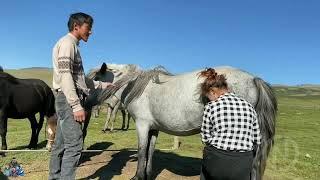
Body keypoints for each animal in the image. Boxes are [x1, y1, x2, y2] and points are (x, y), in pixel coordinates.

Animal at [98, 64, 278, 180]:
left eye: (97, 75)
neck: (137, 87)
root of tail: (254, 79)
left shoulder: (142, 126)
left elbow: (142, 151)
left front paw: (137, 176)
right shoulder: (153, 128)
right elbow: (150, 151)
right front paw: (147, 175)